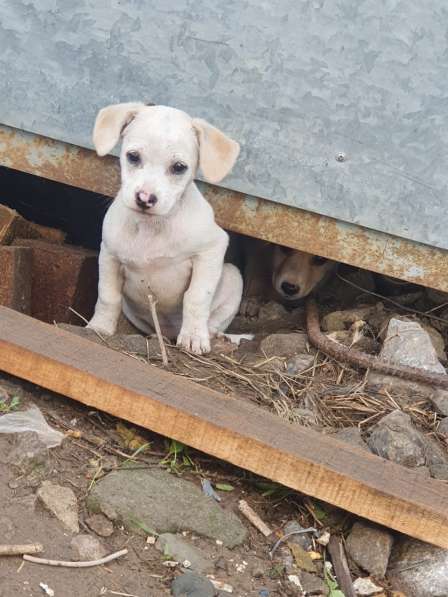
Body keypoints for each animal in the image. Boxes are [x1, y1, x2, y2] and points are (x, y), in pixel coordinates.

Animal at [87, 101, 242, 354]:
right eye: (133, 156)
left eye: (179, 167)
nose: (145, 198)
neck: (152, 227)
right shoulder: (109, 255)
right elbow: (108, 295)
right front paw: (100, 327)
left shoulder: (212, 249)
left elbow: (197, 296)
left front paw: (194, 336)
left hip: (233, 277)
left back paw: (214, 335)